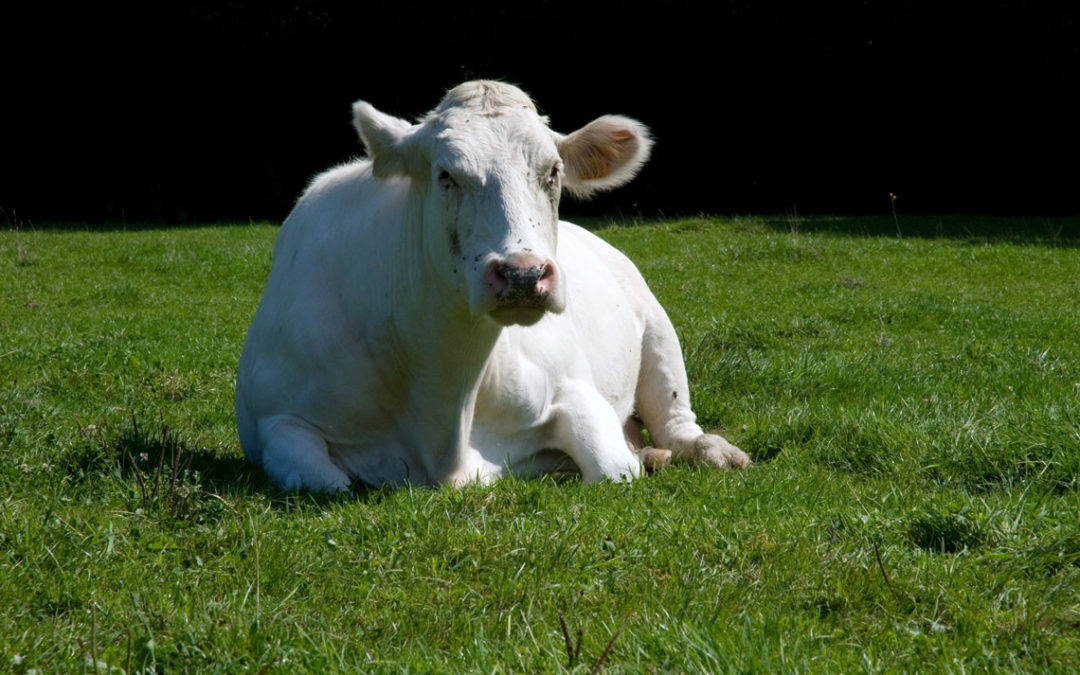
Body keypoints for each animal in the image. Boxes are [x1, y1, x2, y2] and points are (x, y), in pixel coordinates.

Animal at [234, 81, 751, 492]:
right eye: (446, 175)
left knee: (676, 420)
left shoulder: (572, 388)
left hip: (657, 328)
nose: (524, 273)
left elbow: (613, 470)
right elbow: (324, 480)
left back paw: (708, 451)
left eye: (553, 171)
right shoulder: (275, 420)